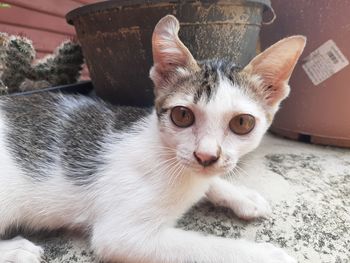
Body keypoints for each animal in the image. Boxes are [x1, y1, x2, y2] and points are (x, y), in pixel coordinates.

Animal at [0, 14, 304, 263]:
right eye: (182, 116)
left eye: (242, 123)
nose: (205, 156)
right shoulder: (122, 235)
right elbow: (203, 246)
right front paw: (263, 254)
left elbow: (213, 181)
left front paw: (242, 195)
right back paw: (15, 250)